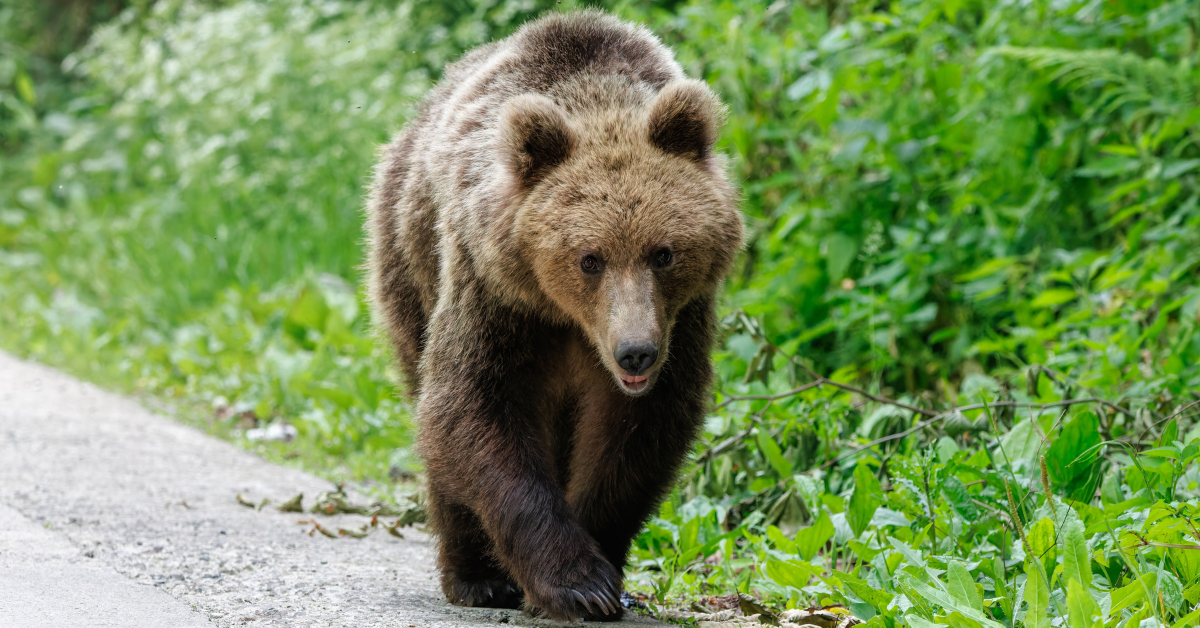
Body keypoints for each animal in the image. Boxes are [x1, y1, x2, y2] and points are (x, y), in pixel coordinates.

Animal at [365, 10, 742, 622]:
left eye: (663, 253)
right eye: (590, 258)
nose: (635, 353)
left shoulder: (680, 321)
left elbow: (636, 434)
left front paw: (603, 570)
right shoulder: (495, 296)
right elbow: (472, 406)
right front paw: (575, 583)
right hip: (407, 261)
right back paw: (475, 576)